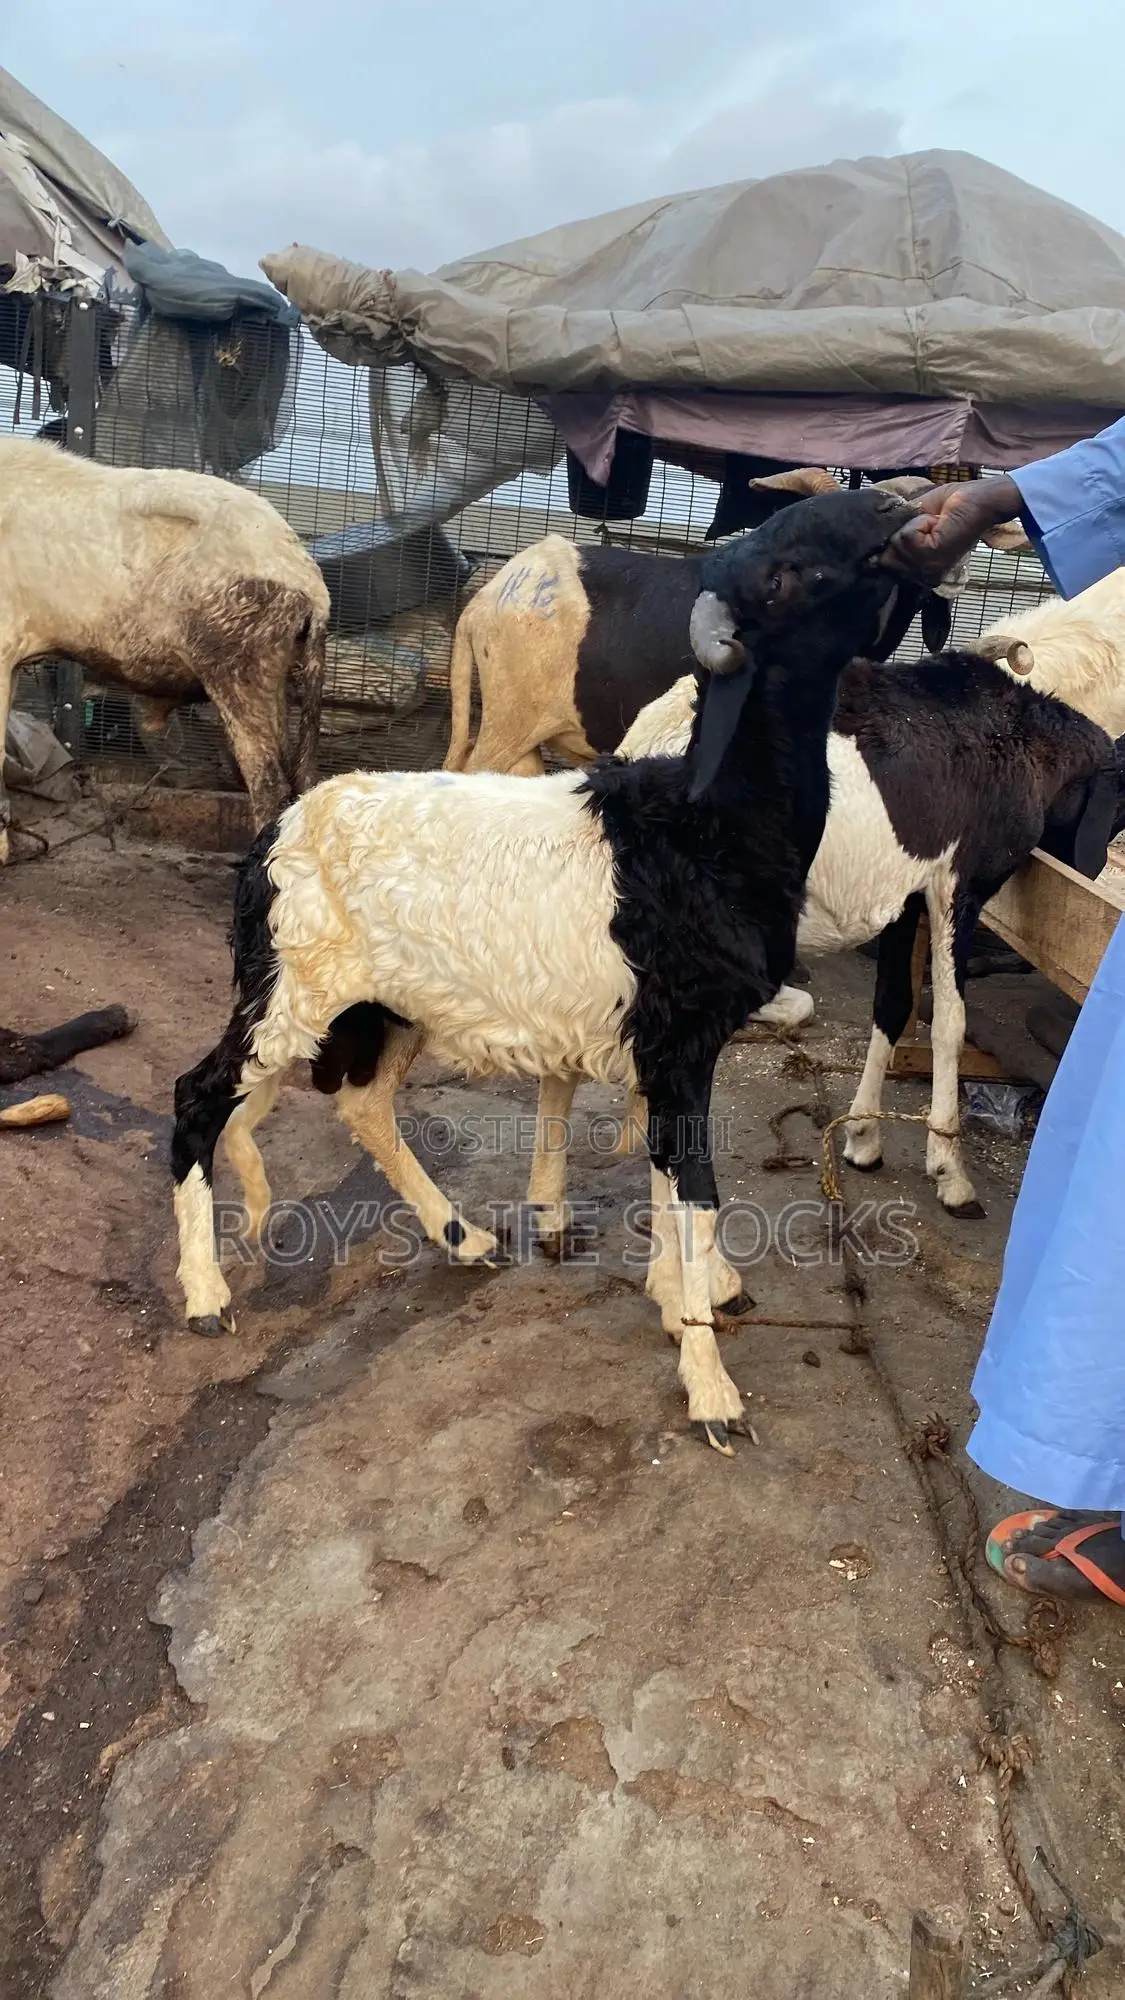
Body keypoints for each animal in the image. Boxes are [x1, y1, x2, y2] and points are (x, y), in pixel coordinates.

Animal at [171, 486, 918, 1453]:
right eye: (791, 570)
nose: (897, 506)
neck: (708, 820)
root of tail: (275, 833)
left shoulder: (666, 1048)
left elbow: (668, 1178)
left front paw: (686, 1302)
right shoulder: (678, 1039)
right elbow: (695, 1189)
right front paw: (710, 1386)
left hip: (384, 1003)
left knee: (363, 1104)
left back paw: (461, 1238)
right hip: (290, 991)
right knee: (198, 1096)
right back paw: (206, 1296)